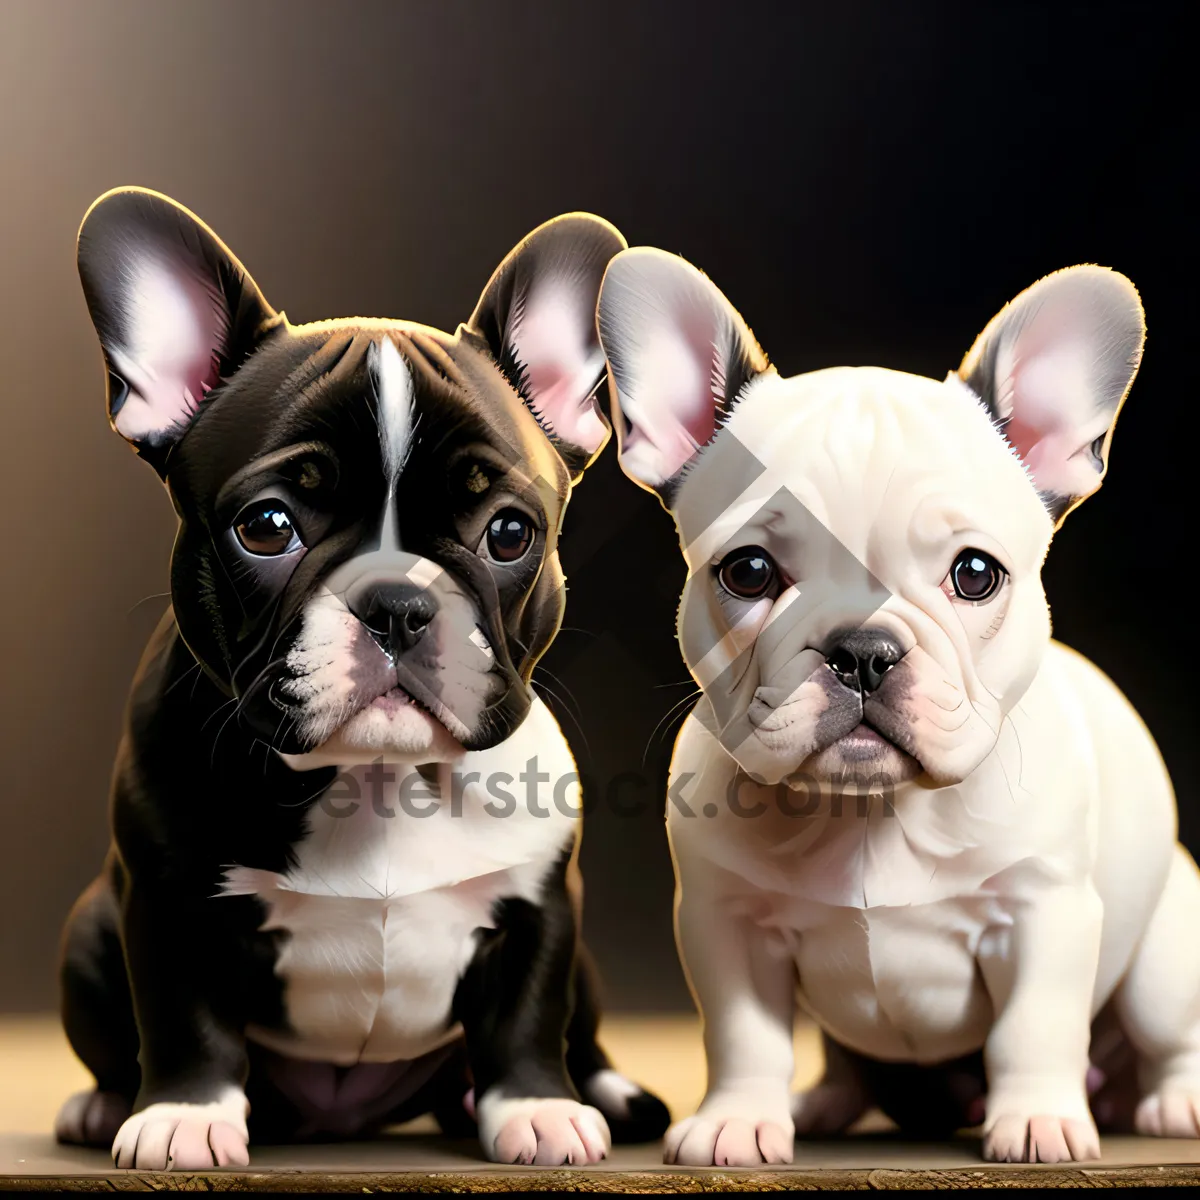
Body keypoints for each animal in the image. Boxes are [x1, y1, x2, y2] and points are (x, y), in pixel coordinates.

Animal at [54, 189, 667, 1171]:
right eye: (267, 526)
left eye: (509, 532)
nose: (397, 604)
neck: (376, 780)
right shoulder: (167, 899)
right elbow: (186, 1016)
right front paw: (184, 1115)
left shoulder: (542, 906)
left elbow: (529, 1014)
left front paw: (537, 1108)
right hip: (88, 932)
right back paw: (104, 1103)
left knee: (581, 1029)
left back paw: (597, 1092)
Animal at [597, 250, 1200, 1161]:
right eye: (748, 571)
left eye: (976, 574)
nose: (862, 651)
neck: (871, 814)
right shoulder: (727, 925)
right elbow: (745, 1035)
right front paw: (738, 1118)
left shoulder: (1044, 913)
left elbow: (1034, 1028)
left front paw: (1037, 1118)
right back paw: (821, 1104)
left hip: (1165, 960)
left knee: (1168, 1034)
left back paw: (1174, 1101)